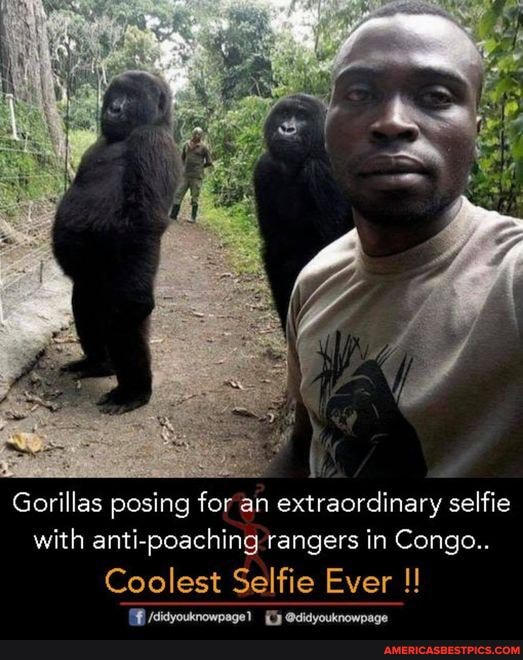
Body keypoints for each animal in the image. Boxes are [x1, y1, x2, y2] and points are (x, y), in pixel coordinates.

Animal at [52, 71, 181, 412]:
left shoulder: (152, 144)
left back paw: (133, 391)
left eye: (132, 97)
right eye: (116, 94)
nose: (114, 108)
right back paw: (98, 363)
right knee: (84, 303)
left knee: (125, 322)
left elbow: (144, 222)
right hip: (92, 283)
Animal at [255, 93, 354, 330]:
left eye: (301, 117)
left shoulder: (323, 168)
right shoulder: (263, 168)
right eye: (284, 113)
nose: (286, 128)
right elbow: (277, 253)